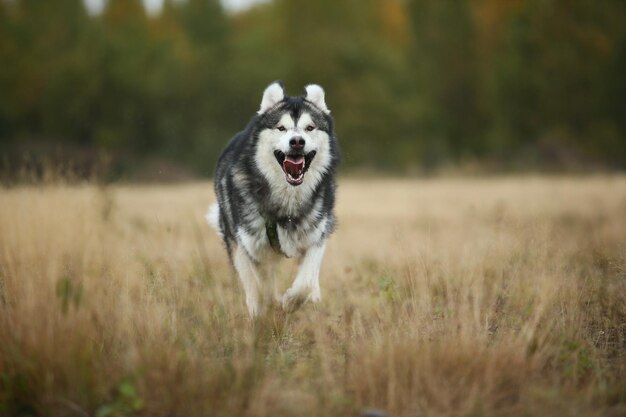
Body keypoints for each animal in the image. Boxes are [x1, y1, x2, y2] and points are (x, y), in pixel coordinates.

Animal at [205, 81, 338, 316]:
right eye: (281, 128)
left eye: (309, 128)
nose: (297, 142)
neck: (288, 200)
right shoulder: (255, 250)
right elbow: (263, 287)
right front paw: (274, 306)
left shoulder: (316, 236)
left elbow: (305, 280)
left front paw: (292, 301)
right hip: (237, 243)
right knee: (251, 285)